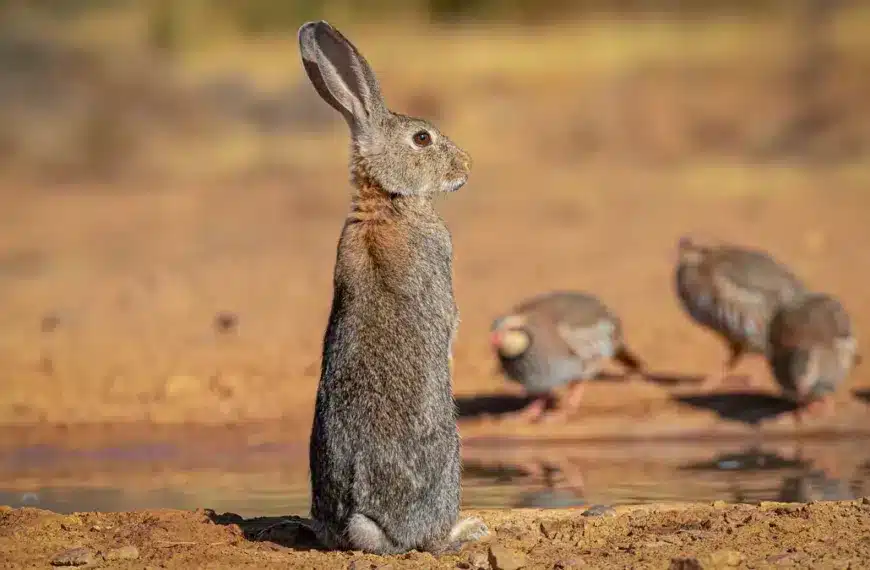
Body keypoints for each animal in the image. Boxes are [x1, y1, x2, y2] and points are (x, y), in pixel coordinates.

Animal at [298, 20, 490, 552]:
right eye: (422, 138)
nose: (467, 166)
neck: (388, 198)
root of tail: (368, 522)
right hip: (449, 457)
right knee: (432, 541)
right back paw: (469, 528)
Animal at [494, 290, 644, 420]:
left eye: (511, 329)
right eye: (493, 329)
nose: (494, 339)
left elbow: (576, 384)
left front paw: (563, 412)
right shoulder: (541, 378)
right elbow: (542, 393)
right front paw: (527, 413)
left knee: (580, 382)